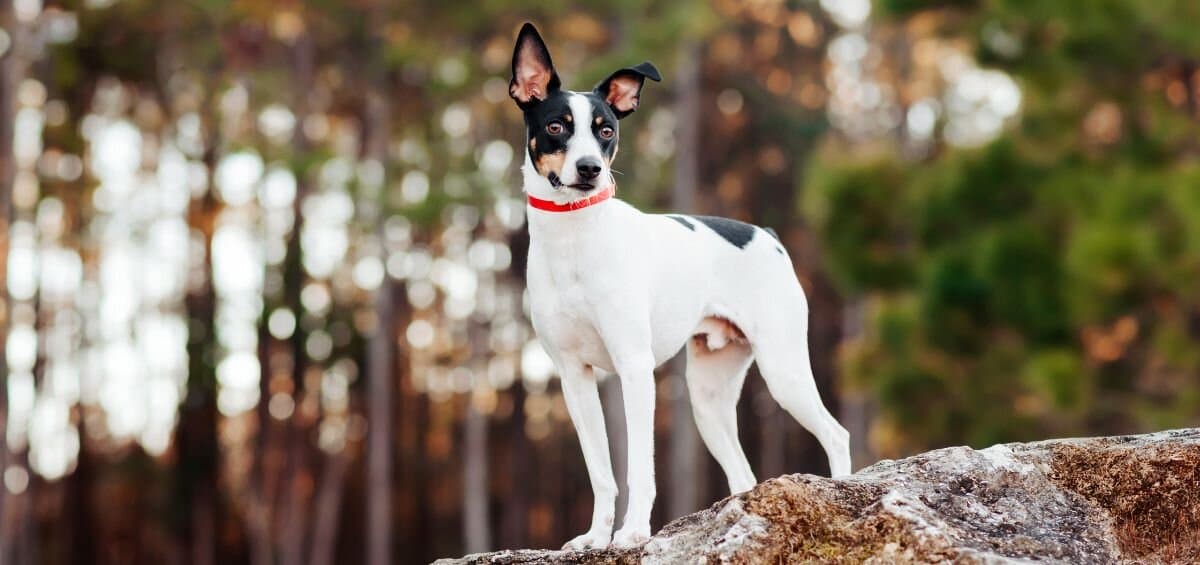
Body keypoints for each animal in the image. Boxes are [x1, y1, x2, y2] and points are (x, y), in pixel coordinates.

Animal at [506, 24, 854, 551]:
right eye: (555, 127)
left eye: (606, 130)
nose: (589, 169)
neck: (575, 238)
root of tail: (768, 236)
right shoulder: (574, 377)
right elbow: (601, 472)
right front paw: (595, 536)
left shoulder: (634, 369)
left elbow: (638, 468)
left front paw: (632, 532)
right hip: (708, 398)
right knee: (743, 473)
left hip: (784, 370)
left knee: (836, 435)